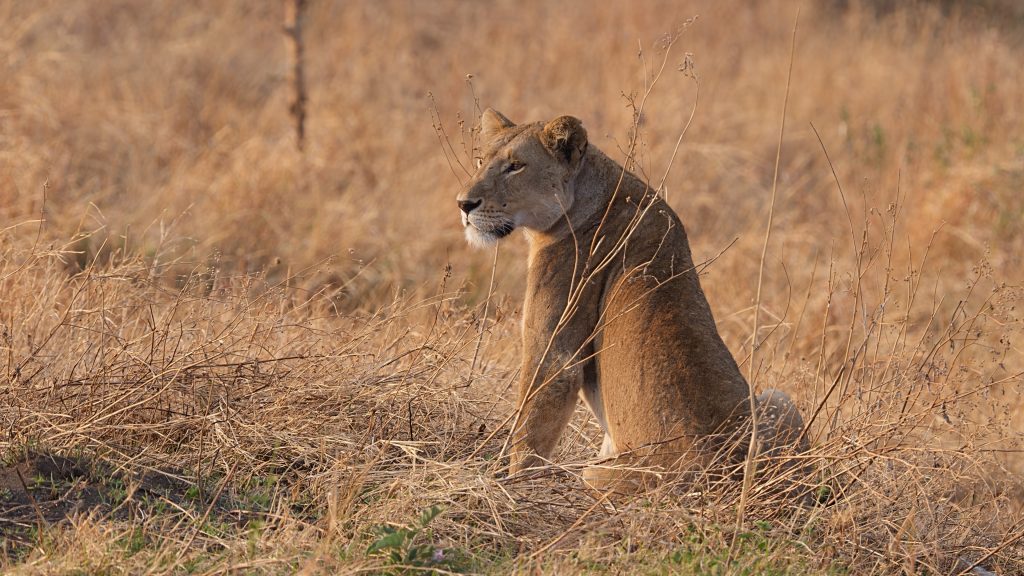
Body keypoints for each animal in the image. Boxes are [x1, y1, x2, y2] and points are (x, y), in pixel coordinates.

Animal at [457, 108, 809, 492]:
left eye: (516, 166)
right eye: (481, 160)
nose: (464, 204)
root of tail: (722, 476)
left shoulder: (554, 350)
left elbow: (532, 423)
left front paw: (511, 482)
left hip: (600, 473)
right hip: (780, 398)